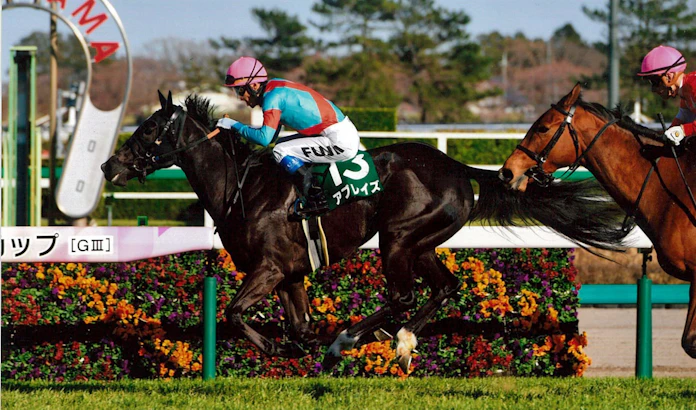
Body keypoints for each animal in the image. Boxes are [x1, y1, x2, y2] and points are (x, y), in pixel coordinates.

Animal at [102, 91, 633, 372]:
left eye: (147, 131)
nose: (109, 166)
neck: (243, 186)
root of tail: (458, 167)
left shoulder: (269, 268)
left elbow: (233, 312)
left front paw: (281, 348)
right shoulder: (291, 274)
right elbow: (299, 325)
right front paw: (298, 349)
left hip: (396, 237)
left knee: (402, 297)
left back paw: (354, 340)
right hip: (420, 242)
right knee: (444, 288)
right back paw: (401, 341)